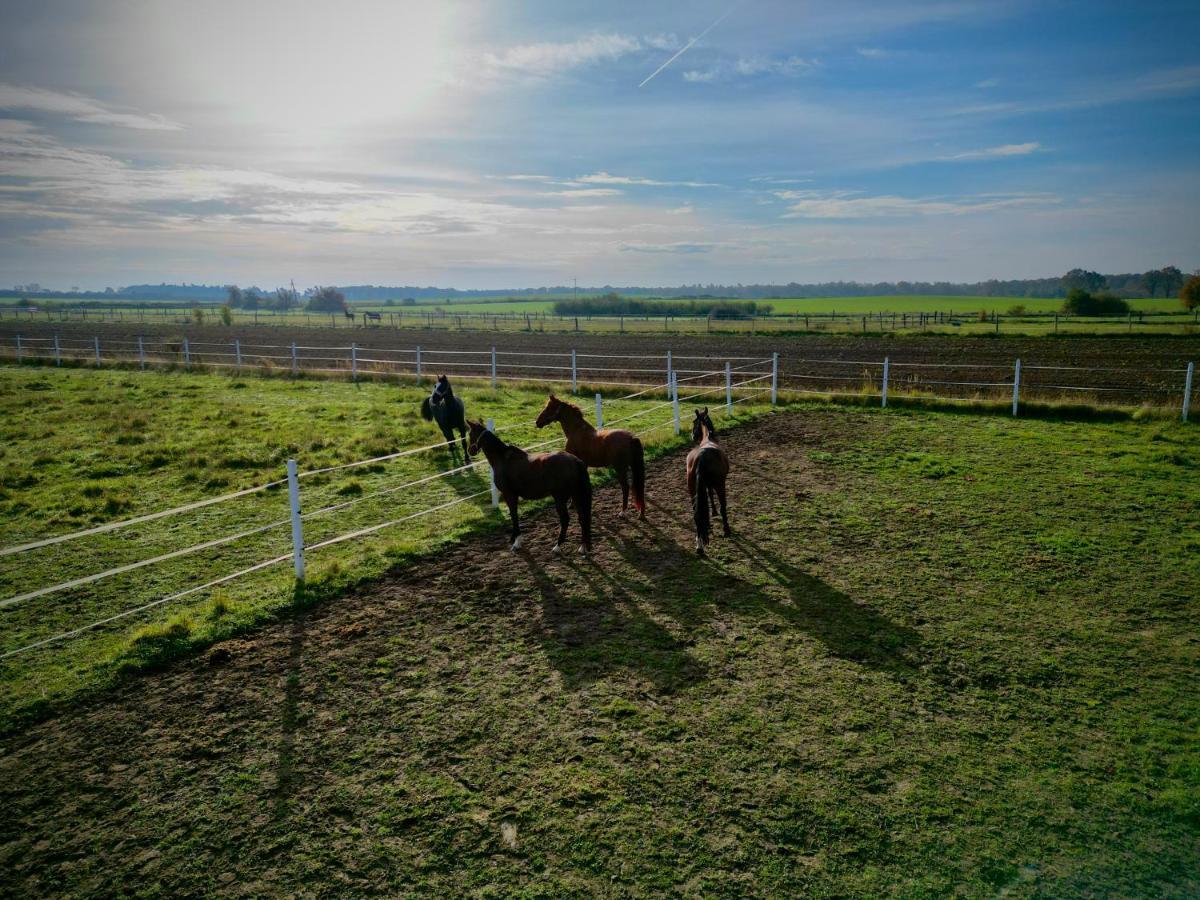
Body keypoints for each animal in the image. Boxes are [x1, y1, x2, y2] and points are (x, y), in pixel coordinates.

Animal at [470, 422, 597, 556]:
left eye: (470, 434)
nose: (470, 450)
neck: (502, 458)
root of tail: (576, 461)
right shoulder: (513, 495)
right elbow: (514, 514)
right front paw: (514, 538)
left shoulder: (509, 494)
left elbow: (514, 515)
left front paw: (516, 542)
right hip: (576, 495)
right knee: (583, 518)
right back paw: (583, 547)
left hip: (561, 498)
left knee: (566, 520)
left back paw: (557, 546)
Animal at [686, 408, 729, 556]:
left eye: (694, 422)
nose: (692, 436)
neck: (707, 439)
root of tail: (702, 455)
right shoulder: (716, 484)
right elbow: (719, 504)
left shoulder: (705, 486)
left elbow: (709, 495)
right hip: (720, 485)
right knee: (723, 507)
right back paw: (727, 530)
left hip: (692, 489)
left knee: (696, 514)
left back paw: (699, 545)